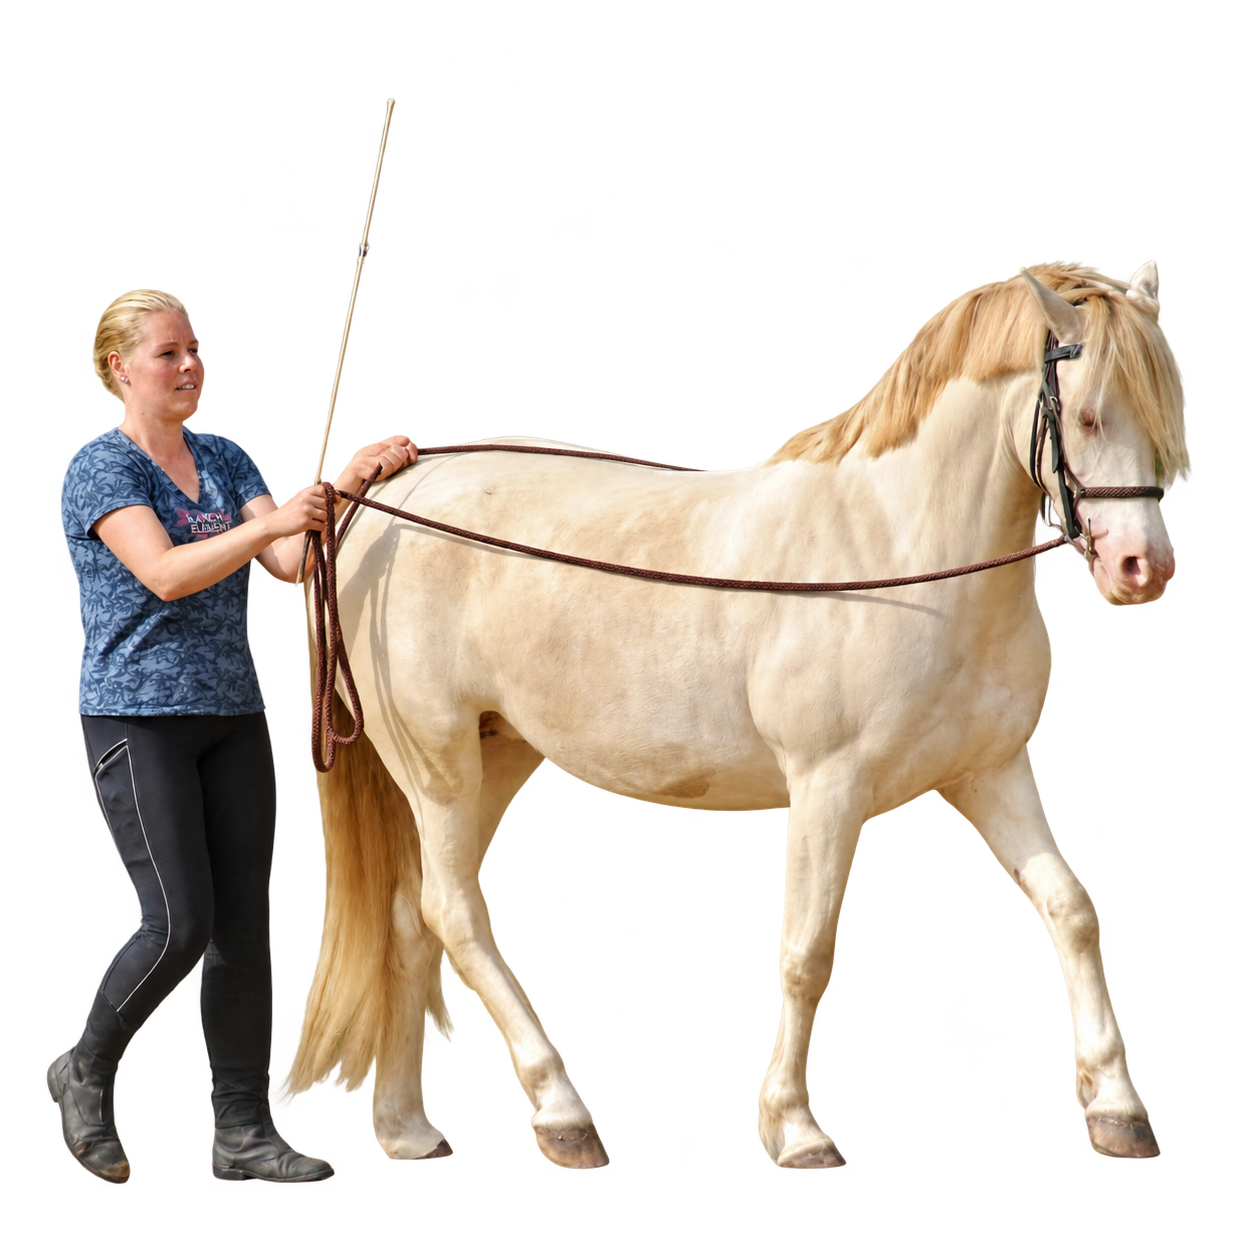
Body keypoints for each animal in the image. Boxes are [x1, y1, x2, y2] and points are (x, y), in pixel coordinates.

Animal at [275, 259, 1189, 1171]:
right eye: (1087, 414)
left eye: (1163, 412)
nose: (1142, 568)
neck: (898, 553)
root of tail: (383, 495)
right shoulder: (828, 786)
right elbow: (808, 948)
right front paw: (794, 1127)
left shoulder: (990, 773)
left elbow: (1071, 911)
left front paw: (1118, 1109)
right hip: (437, 764)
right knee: (451, 912)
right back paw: (563, 1113)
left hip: (493, 758)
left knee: (408, 918)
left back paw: (406, 1128)